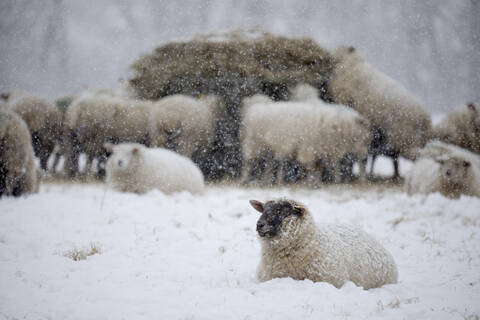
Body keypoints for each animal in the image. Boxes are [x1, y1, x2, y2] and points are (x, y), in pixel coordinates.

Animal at [242, 92, 370, 185]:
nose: (365, 156)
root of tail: (254, 108)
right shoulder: (309, 148)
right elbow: (311, 168)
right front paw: (310, 182)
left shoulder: (320, 150)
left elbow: (318, 168)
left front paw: (317, 182)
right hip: (253, 143)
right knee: (249, 162)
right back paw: (246, 179)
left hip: (266, 147)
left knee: (268, 164)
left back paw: (267, 180)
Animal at [328, 47, 434, 180]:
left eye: (339, 48)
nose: (329, 54)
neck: (351, 65)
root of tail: (425, 118)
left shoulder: (345, 98)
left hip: (404, 137)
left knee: (415, 155)